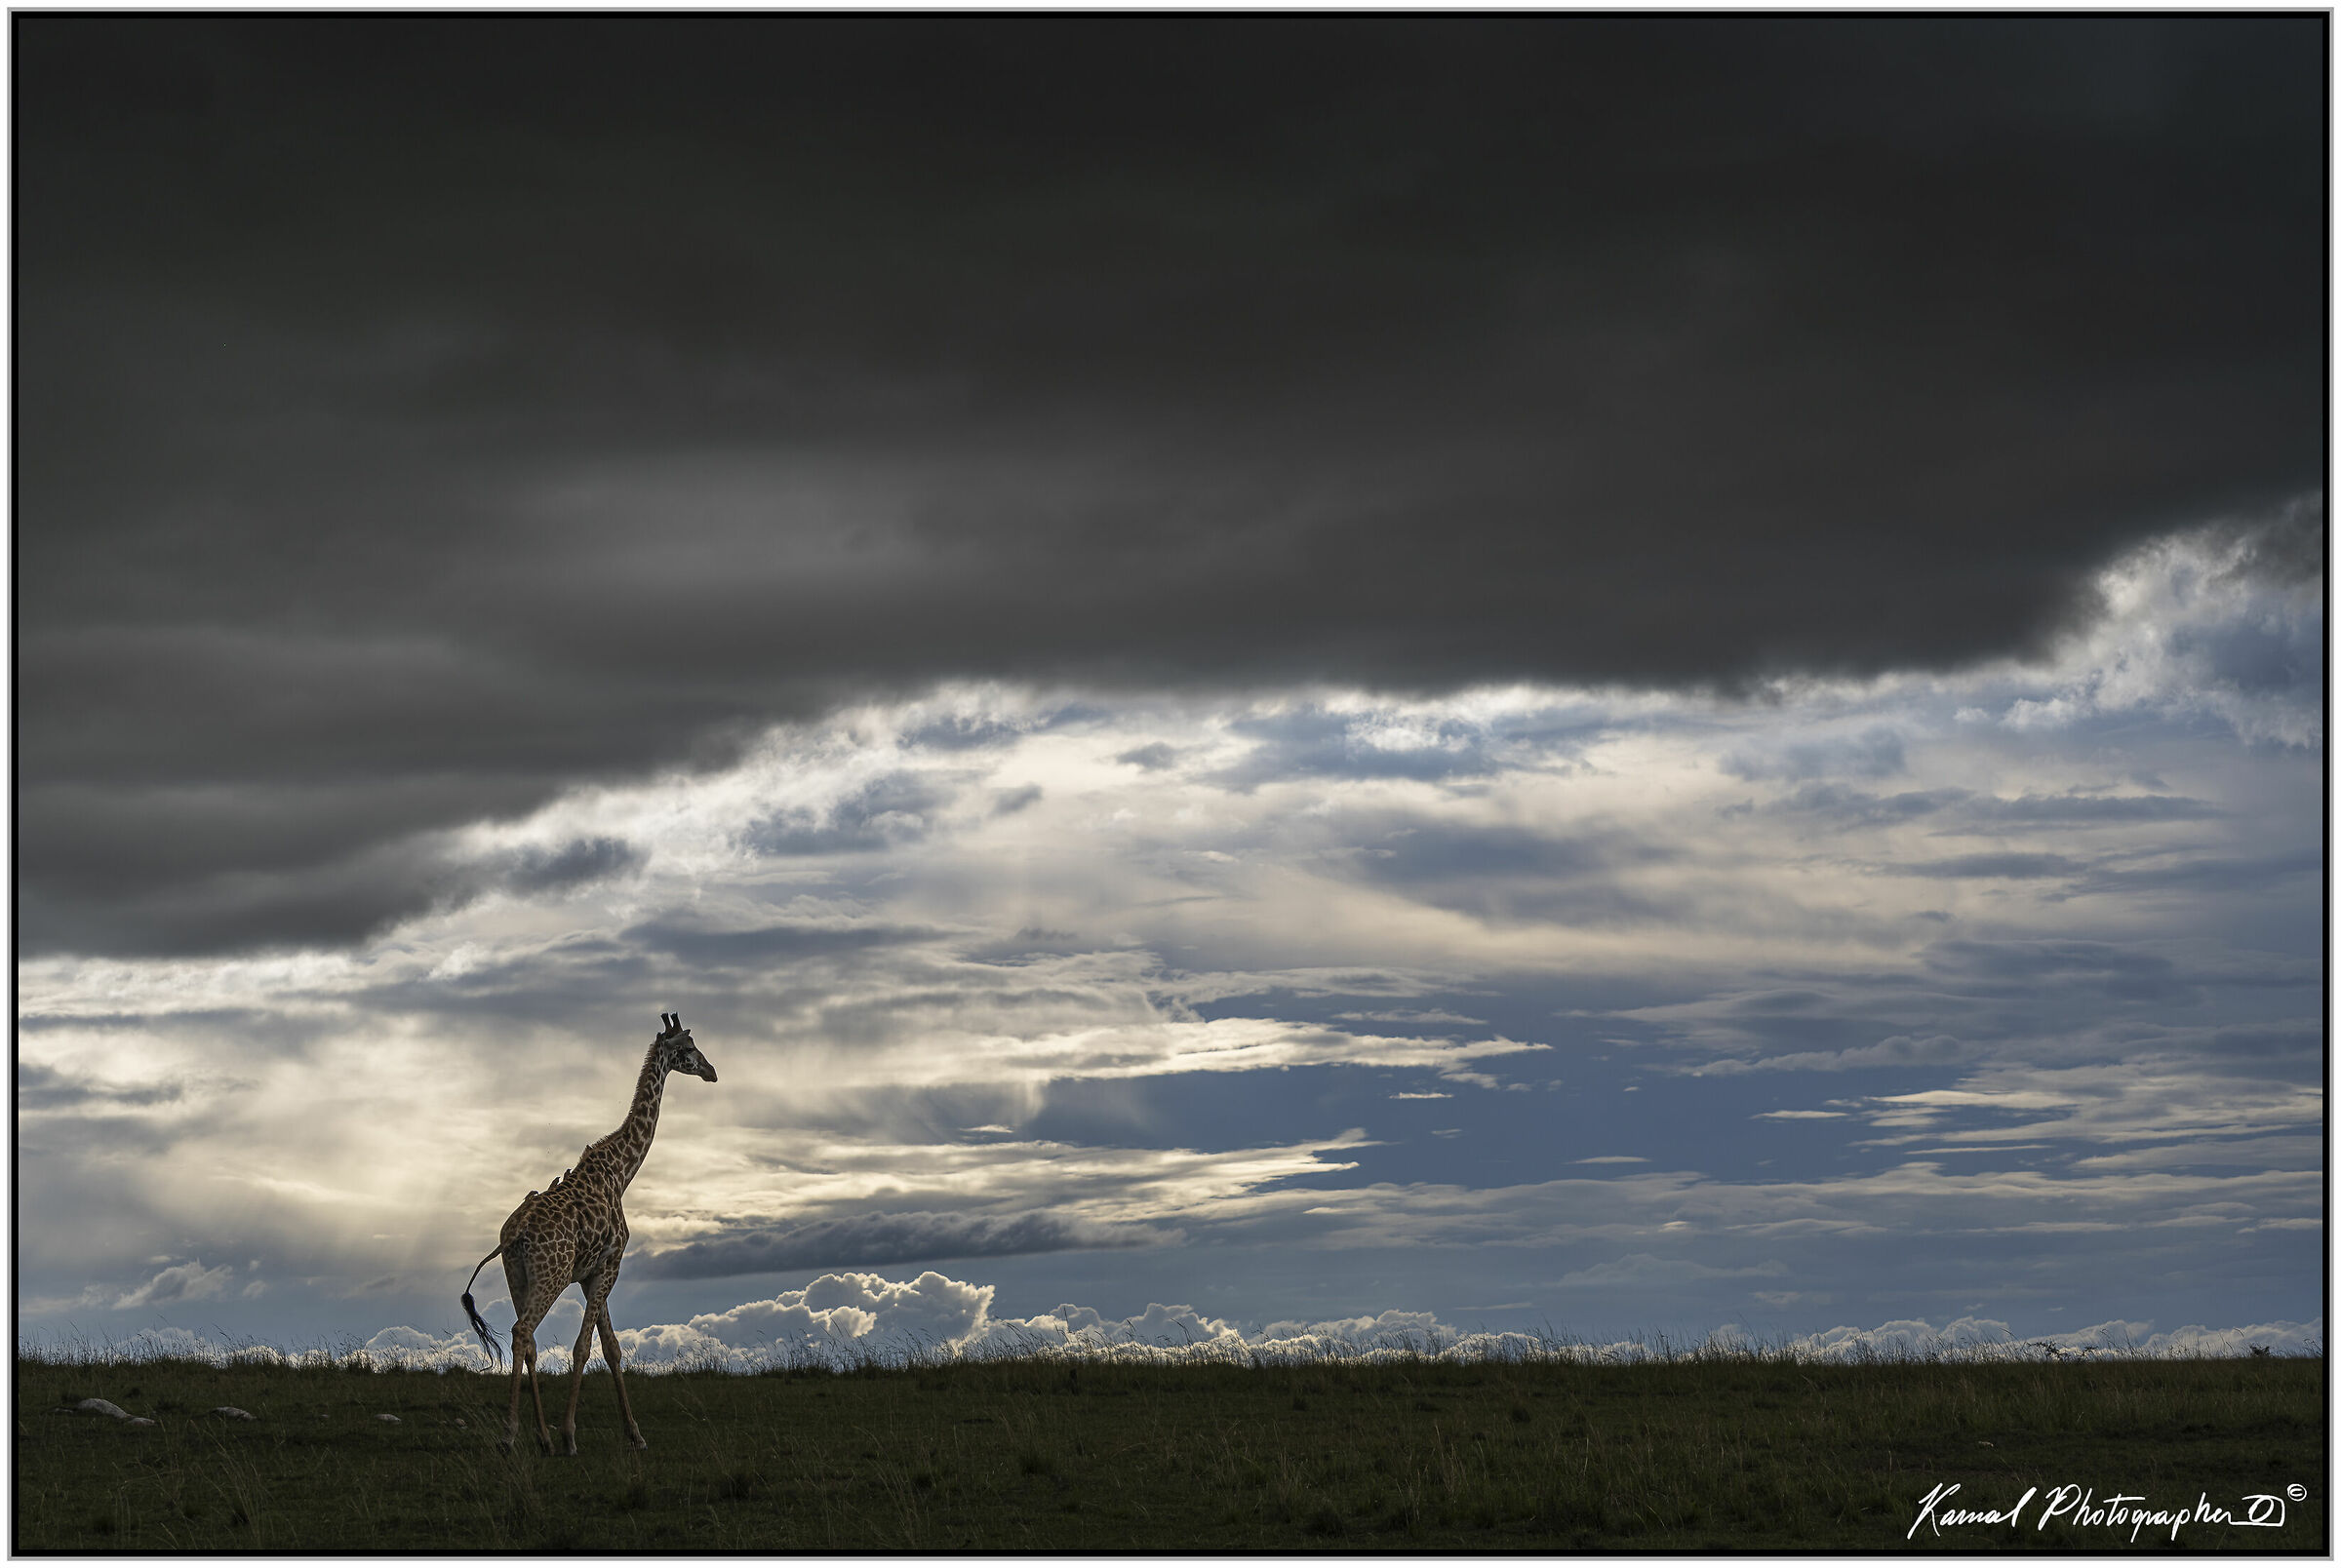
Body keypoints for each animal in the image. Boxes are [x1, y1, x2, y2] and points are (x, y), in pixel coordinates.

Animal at [460, 1012, 718, 1455]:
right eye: (687, 1048)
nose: (712, 1071)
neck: (622, 1172)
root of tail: (512, 1236)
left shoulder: (590, 1273)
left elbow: (612, 1348)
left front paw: (634, 1434)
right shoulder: (610, 1265)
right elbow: (584, 1347)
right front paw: (571, 1435)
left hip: (518, 1276)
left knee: (529, 1340)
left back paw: (542, 1438)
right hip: (551, 1276)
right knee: (522, 1331)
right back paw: (512, 1435)